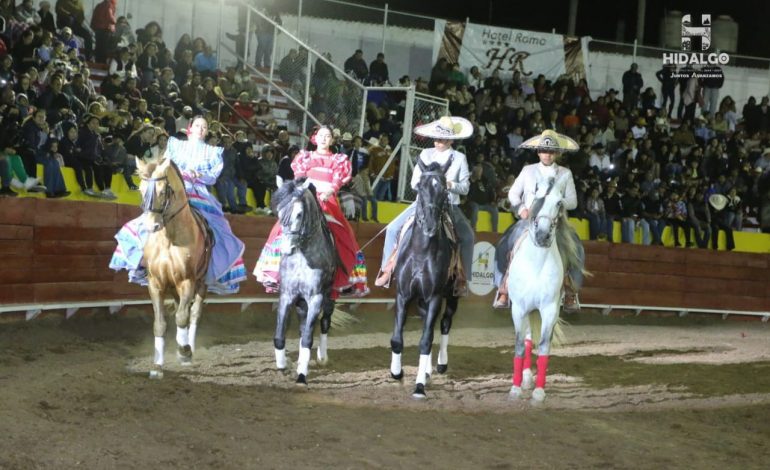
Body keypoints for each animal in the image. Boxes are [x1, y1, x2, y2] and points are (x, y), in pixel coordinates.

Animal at [136, 158, 212, 378]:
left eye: (163, 191)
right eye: (141, 189)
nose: (151, 226)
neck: (169, 239)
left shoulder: (187, 281)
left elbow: (182, 317)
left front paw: (184, 352)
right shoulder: (155, 284)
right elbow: (160, 324)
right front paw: (157, 366)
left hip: (201, 283)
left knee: (193, 313)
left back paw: (188, 348)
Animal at [272, 178, 340, 384]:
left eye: (299, 214)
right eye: (278, 212)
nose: (286, 249)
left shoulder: (315, 298)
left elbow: (309, 338)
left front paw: (302, 374)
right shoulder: (287, 295)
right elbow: (280, 335)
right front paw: (282, 365)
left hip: (329, 297)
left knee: (324, 323)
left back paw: (322, 358)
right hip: (301, 303)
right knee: (303, 326)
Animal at [388, 160, 460, 398]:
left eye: (445, 189)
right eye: (419, 187)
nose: (429, 226)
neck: (420, 252)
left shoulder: (435, 297)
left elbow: (427, 341)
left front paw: (419, 386)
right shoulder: (403, 295)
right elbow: (397, 339)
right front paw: (397, 372)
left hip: (452, 296)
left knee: (444, 323)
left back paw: (440, 364)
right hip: (420, 300)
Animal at [508, 173, 572, 404]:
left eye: (559, 203)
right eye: (536, 197)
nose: (543, 235)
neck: (535, 264)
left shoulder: (550, 309)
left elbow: (544, 346)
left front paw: (539, 392)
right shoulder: (518, 309)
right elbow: (519, 345)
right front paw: (515, 389)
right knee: (527, 340)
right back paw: (525, 378)